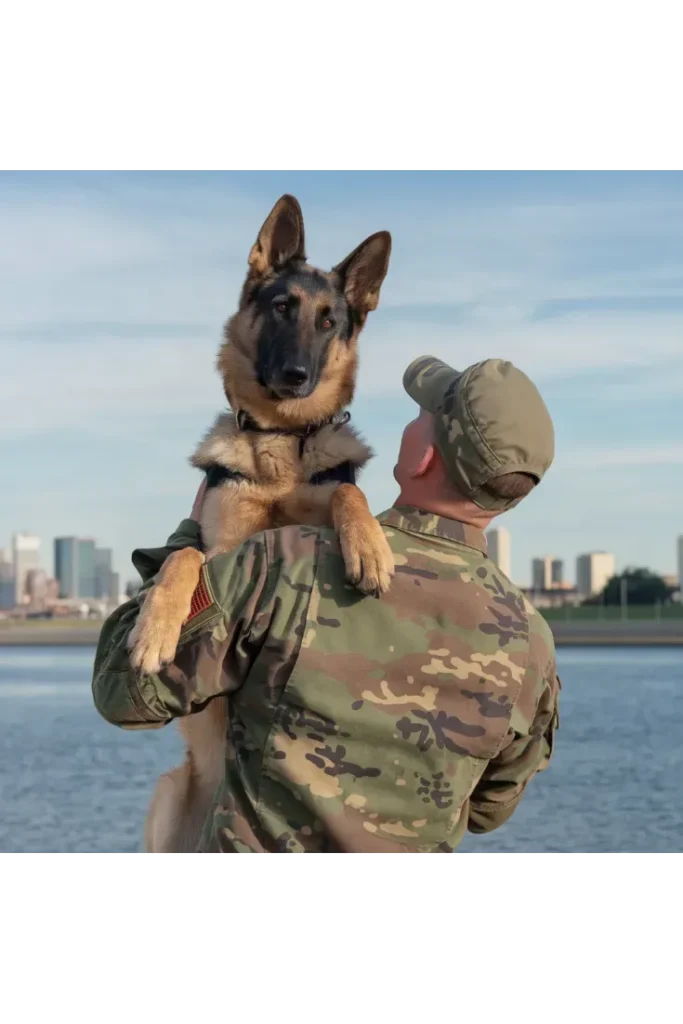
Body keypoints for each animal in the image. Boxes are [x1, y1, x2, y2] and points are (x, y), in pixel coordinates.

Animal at [126, 193, 395, 856]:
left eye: (330, 321)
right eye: (281, 308)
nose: (296, 376)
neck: (279, 440)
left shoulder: (327, 489)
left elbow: (347, 491)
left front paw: (370, 547)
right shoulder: (217, 546)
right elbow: (181, 556)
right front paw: (153, 630)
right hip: (171, 794)